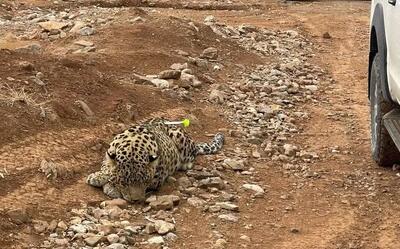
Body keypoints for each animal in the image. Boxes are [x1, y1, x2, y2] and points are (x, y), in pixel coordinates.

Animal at [87, 117, 223, 202]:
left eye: (145, 181)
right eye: (124, 183)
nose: (136, 200)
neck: (132, 145)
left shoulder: (157, 179)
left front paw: (110, 188)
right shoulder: (108, 155)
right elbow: (106, 168)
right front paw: (97, 177)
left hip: (181, 140)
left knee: (193, 154)